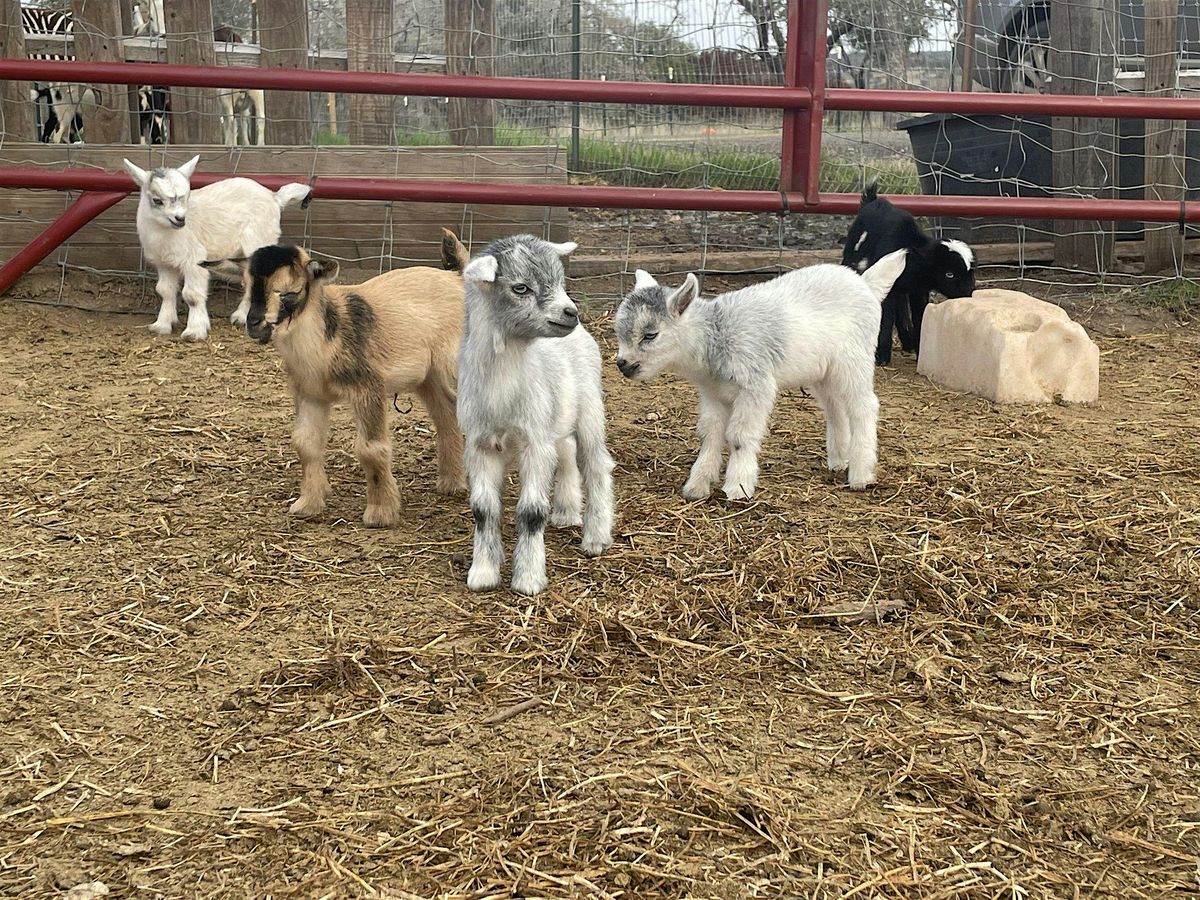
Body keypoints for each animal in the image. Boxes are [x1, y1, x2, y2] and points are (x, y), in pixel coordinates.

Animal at [204, 232, 465, 528]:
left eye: (290, 292)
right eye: (246, 289)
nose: (255, 325)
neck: (328, 335)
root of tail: (456, 277)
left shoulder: (367, 386)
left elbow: (370, 449)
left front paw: (380, 513)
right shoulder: (310, 393)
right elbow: (305, 443)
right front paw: (307, 504)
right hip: (428, 376)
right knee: (447, 412)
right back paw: (451, 483)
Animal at [844, 180, 974, 367]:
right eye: (949, 274)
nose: (968, 293)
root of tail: (873, 201)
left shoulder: (918, 290)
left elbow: (920, 316)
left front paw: (920, 351)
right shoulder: (889, 288)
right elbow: (886, 319)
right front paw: (881, 358)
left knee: (901, 308)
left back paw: (908, 342)